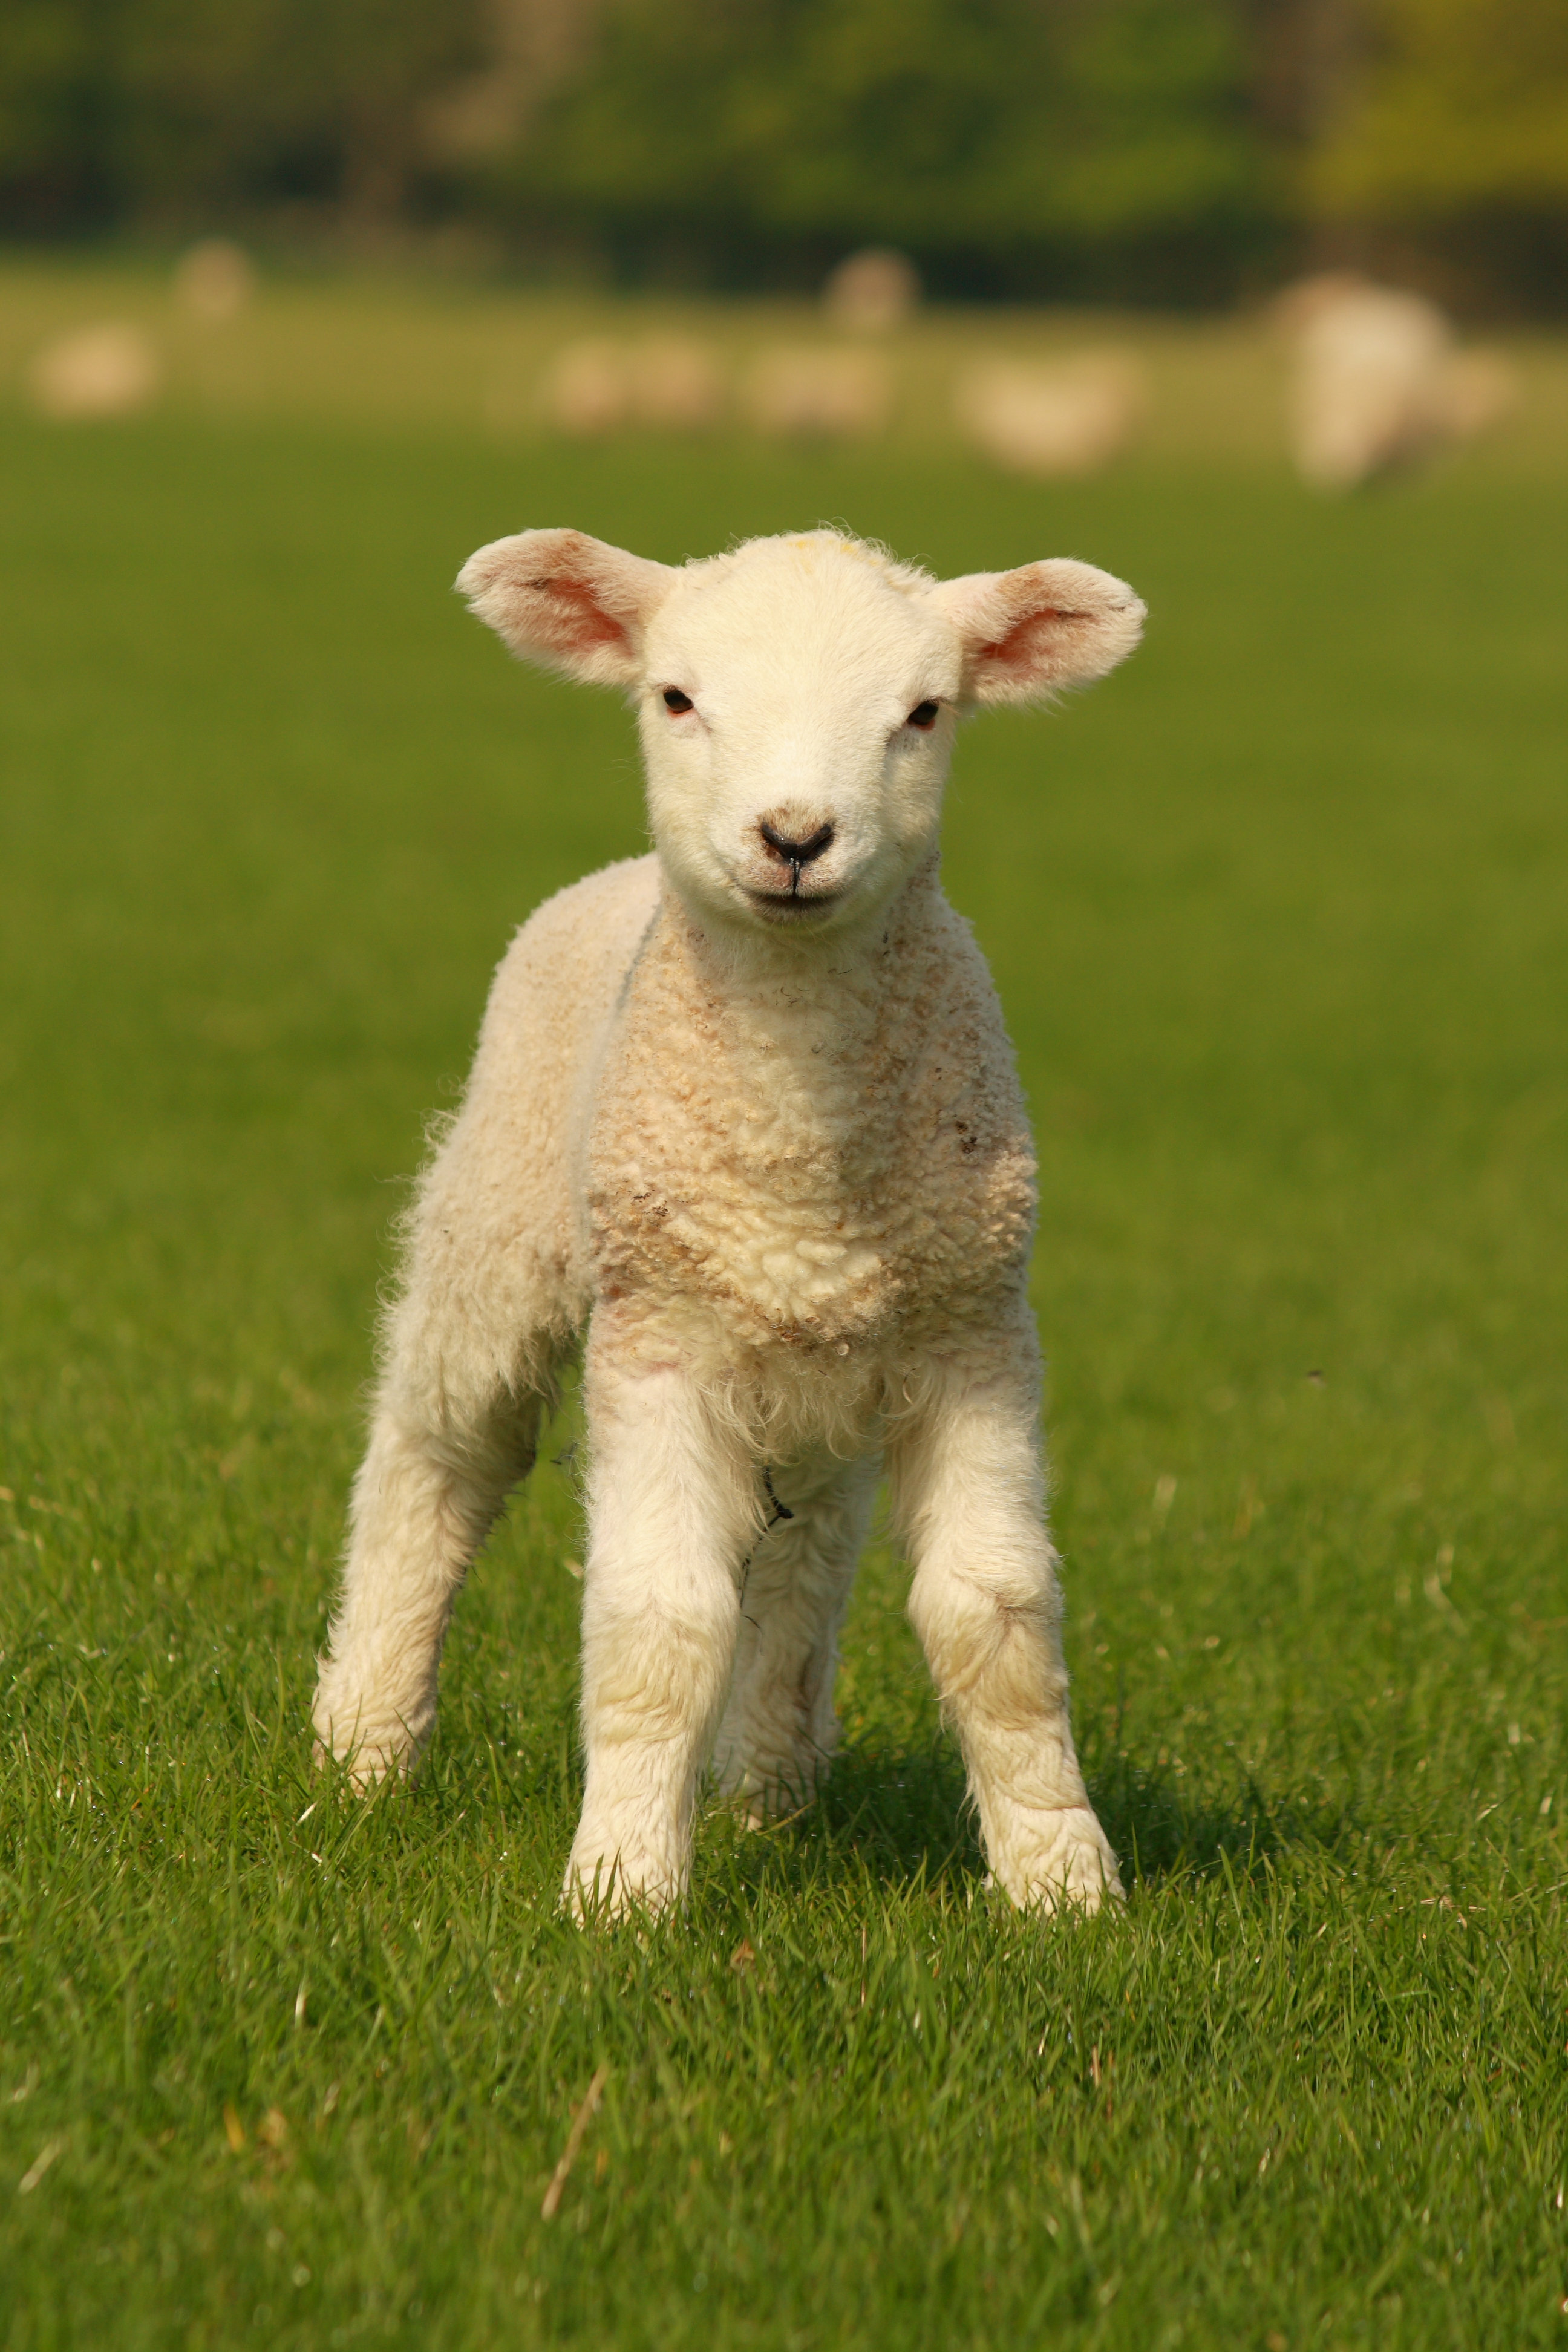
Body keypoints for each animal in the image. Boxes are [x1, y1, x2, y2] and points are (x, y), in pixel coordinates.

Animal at [312, 525, 1144, 1920]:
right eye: (677, 698)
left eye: (926, 712)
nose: (795, 835)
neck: (800, 1162)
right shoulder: (662, 1342)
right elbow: (660, 1619)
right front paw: (621, 1889)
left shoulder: (974, 1334)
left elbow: (995, 1615)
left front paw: (1060, 1880)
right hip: (501, 1221)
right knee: (436, 1458)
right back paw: (361, 1747)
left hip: (819, 1370)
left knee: (808, 1551)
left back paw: (768, 1783)